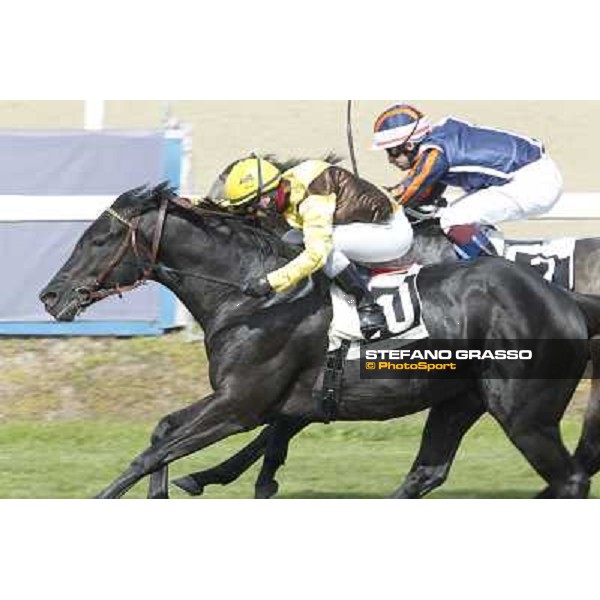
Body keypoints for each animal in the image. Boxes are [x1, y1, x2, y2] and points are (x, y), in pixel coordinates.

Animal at [39, 185, 596, 500]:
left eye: (99, 239)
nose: (50, 296)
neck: (251, 298)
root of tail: (564, 299)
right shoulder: (246, 400)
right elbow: (162, 431)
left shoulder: (240, 406)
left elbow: (151, 455)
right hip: (460, 400)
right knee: (427, 473)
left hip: (525, 414)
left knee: (569, 479)